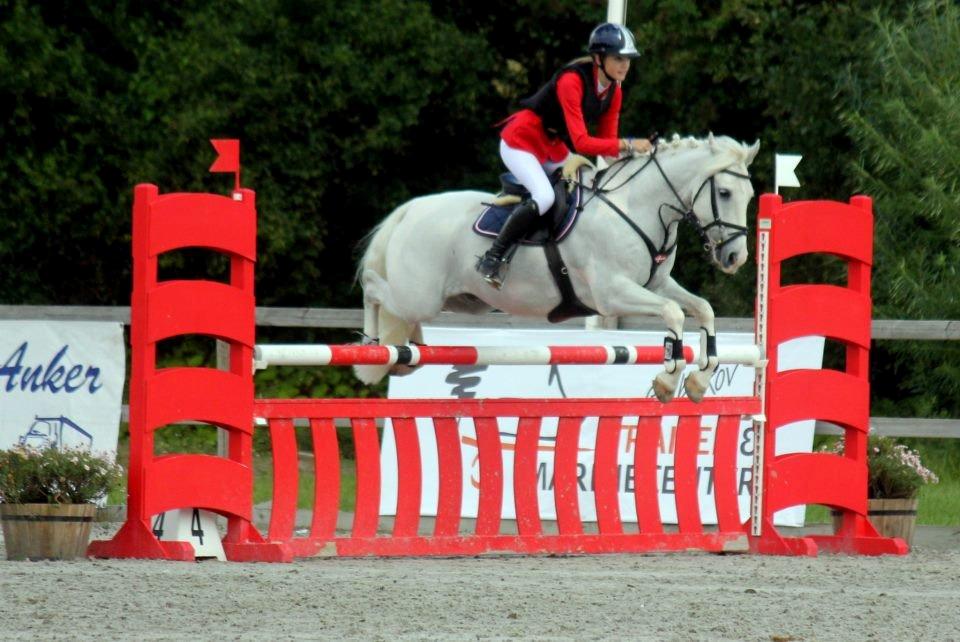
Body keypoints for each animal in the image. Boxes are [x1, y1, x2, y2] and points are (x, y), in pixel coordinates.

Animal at [354, 134, 759, 402]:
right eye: (724, 193)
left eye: (751, 196)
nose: (735, 258)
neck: (637, 206)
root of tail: (411, 210)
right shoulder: (612, 294)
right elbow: (674, 314)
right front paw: (667, 380)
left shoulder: (655, 285)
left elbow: (702, 309)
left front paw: (698, 381)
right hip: (418, 296)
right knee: (373, 286)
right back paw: (373, 346)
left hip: (463, 301)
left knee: (402, 313)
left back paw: (410, 352)